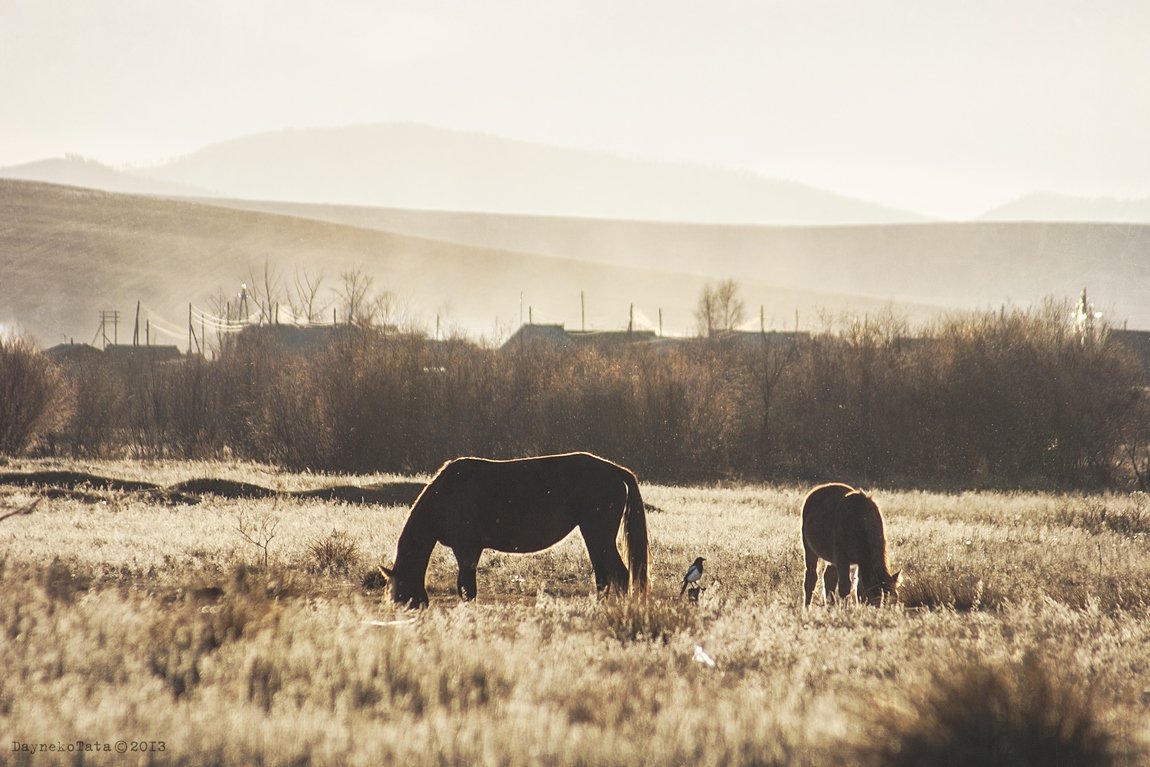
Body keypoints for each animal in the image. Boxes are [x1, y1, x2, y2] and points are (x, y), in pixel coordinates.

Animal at [377, 453, 648, 607]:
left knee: (619, 576)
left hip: (597, 534)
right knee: (604, 577)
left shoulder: (467, 549)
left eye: (398, 595)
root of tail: (615, 471)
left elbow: (466, 588)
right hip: (593, 536)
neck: (448, 493)